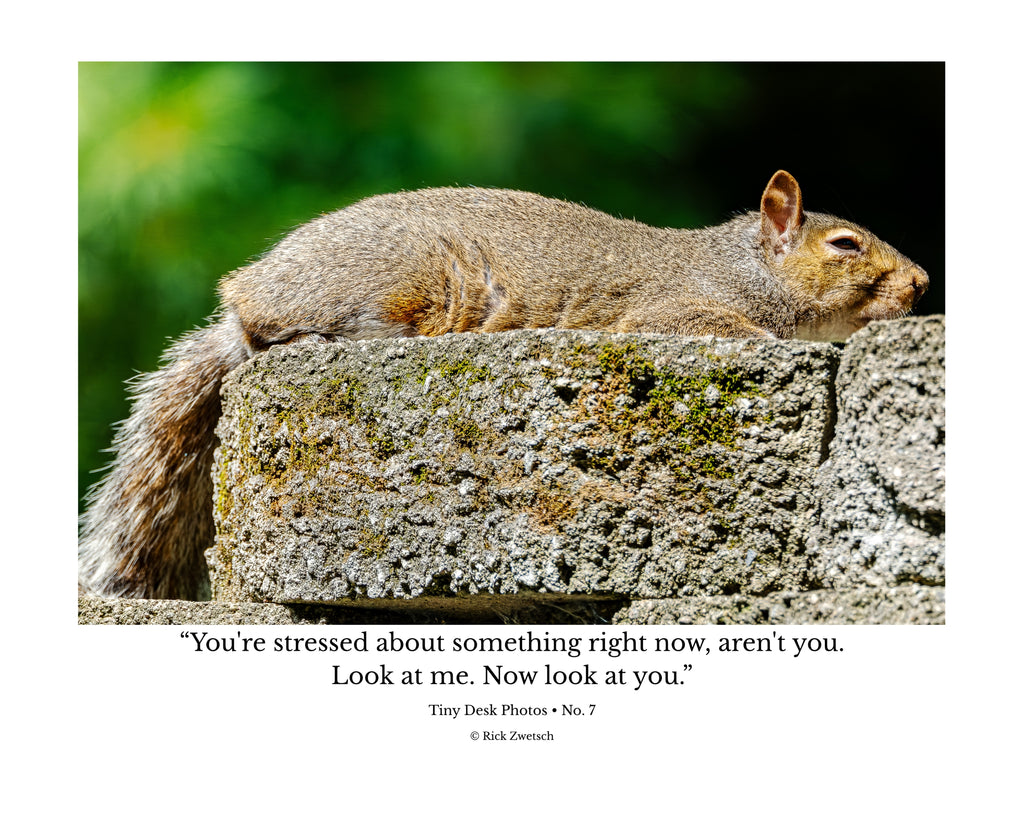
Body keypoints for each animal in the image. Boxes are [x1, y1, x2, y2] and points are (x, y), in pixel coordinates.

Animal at [79, 170, 928, 600]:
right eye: (845, 245)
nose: (922, 283)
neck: (742, 267)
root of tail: (248, 288)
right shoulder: (671, 311)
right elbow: (738, 334)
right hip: (405, 283)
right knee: (275, 331)